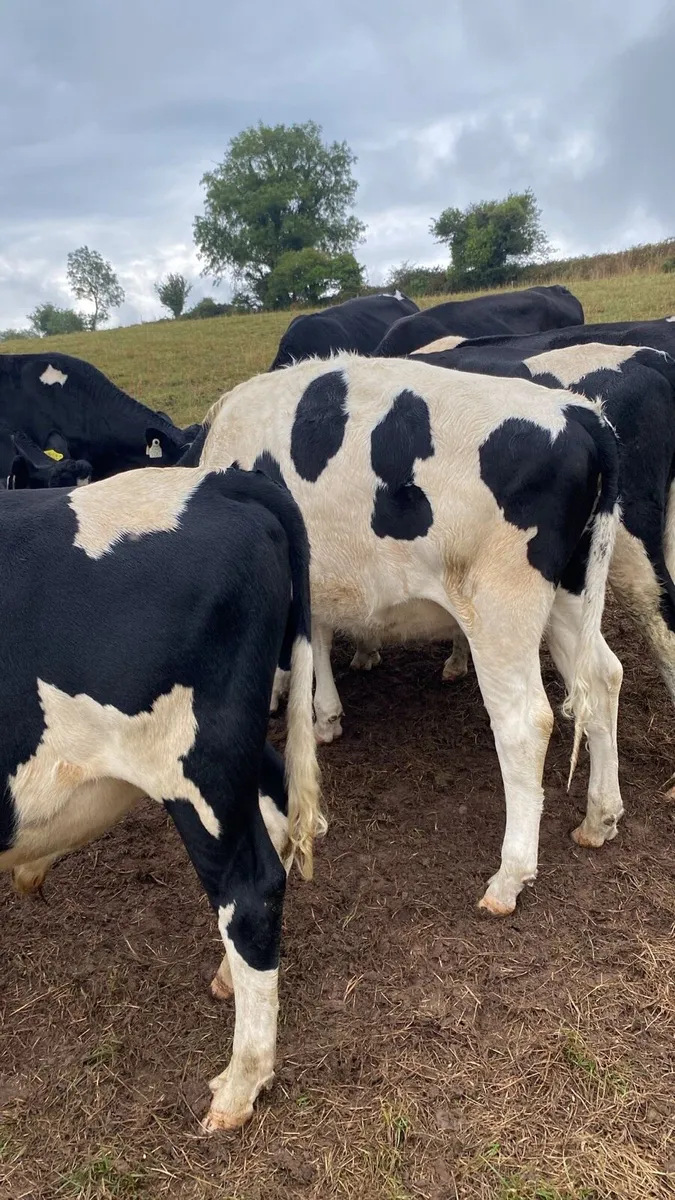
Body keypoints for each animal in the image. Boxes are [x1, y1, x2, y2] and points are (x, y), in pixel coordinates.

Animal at [171, 354, 622, 917]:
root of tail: (576, 410)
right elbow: (319, 636)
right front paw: (326, 714)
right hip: (570, 593)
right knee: (603, 679)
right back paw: (600, 816)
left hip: (500, 609)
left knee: (525, 724)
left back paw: (509, 877)